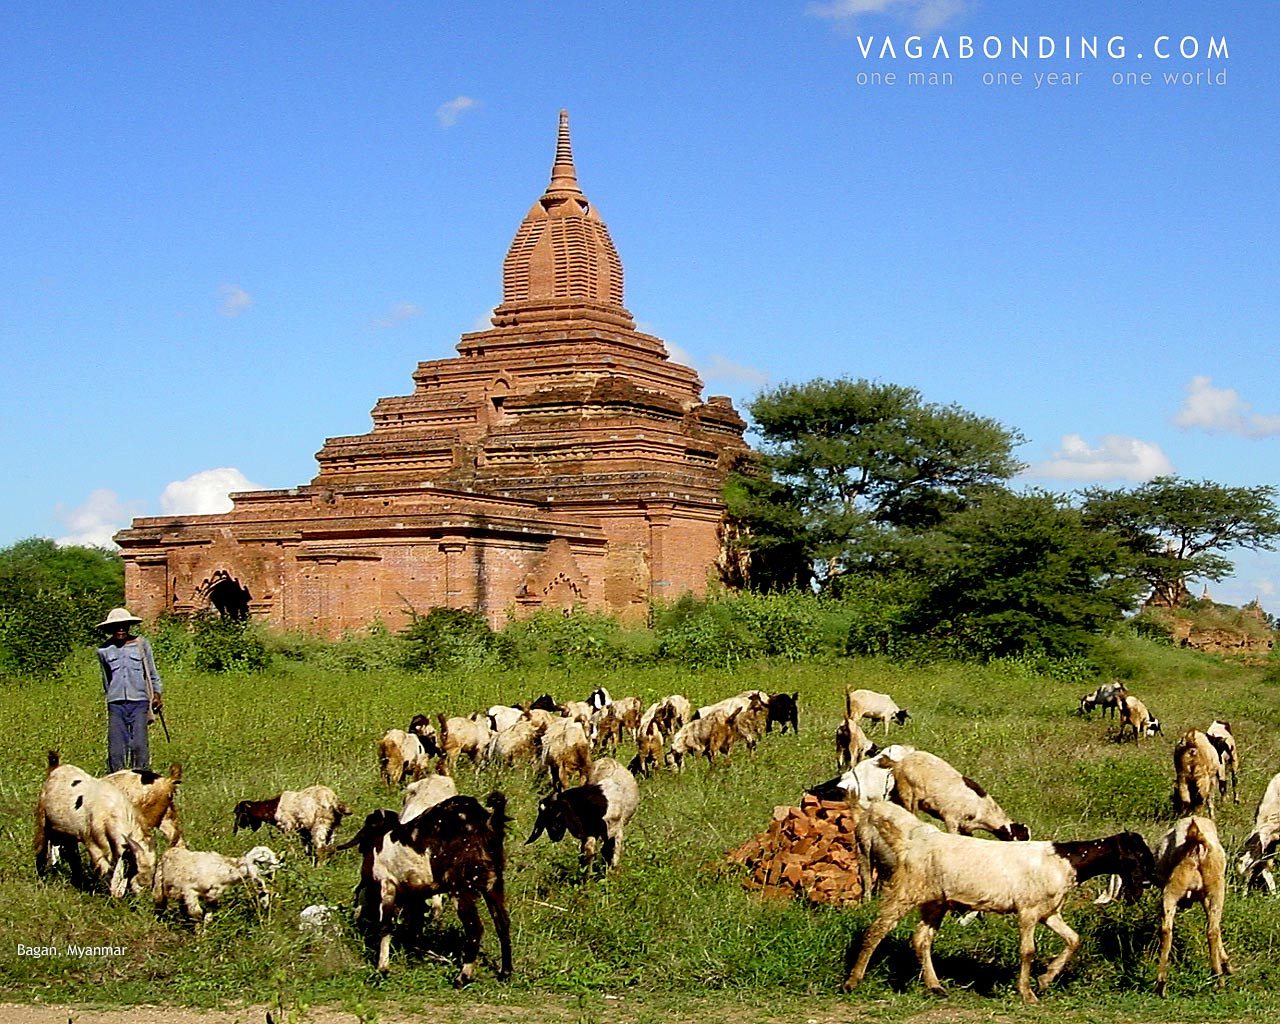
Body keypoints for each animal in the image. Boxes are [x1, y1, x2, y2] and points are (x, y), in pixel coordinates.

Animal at [35, 752, 156, 896]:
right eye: (134, 867)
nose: (142, 894)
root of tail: (56, 767)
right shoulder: (94, 844)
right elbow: (104, 867)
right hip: (42, 820)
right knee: (42, 848)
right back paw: (42, 876)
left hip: (68, 832)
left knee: (71, 854)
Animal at [153, 844, 281, 921]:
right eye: (266, 856)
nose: (279, 861)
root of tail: (170, 849)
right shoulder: (189, 891)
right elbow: (197, 913)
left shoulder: (212, 899)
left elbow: (208, 918)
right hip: (159, 886)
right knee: (160, 902)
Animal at [844, 793, 1157, 1003]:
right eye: (1139, 855)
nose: (1149, 880)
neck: (1066, 861)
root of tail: (913, 842)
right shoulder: (1028, 910)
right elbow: (1028, 951)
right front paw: (1028, 993)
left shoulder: (1049, 912)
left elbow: (1074, 940)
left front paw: (1045, 979)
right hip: (906, 891)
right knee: (877, 930)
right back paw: (852, 982)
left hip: (935, 902)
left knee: (921, 939)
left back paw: (936, 987)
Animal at [890, 742, 1029, 839]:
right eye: (1021, 837)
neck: (984, 810)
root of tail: (905, 758)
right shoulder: (951, 818)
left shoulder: (966, 827)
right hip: (908, 793)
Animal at [1152, 814, 1228, 993]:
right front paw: (1226, 963)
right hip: (1213, 889)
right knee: (1212, 930)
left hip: (1174, 889)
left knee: (1167, 929)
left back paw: (1162, 983)